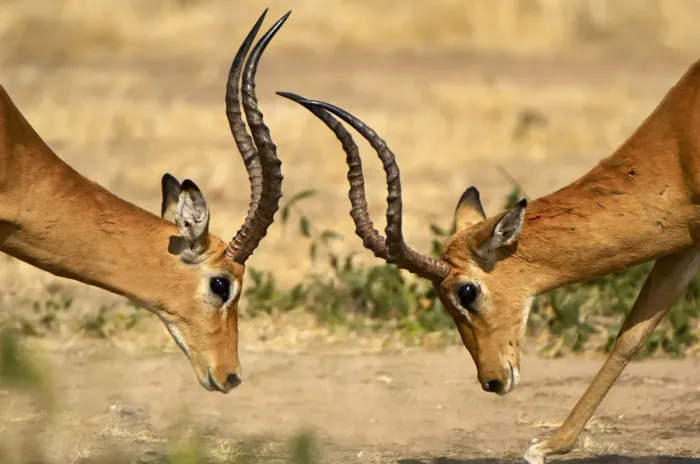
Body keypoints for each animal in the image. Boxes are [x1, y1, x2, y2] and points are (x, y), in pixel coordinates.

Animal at [278, 58, 700, 462]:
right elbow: (631, 335)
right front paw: (550, 446)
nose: (492, 381)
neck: (677, 145)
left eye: (466, 291)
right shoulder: (685, 242)